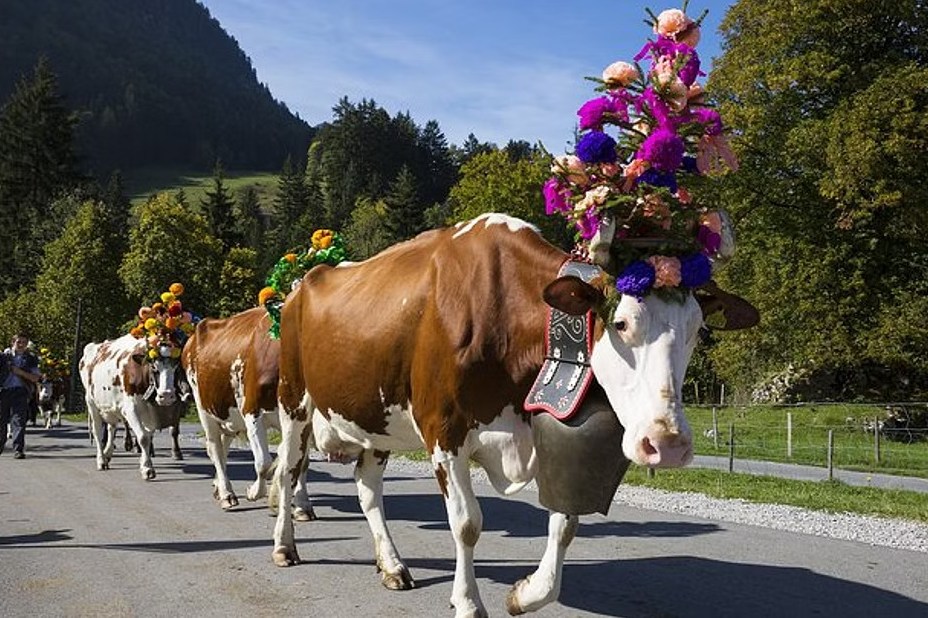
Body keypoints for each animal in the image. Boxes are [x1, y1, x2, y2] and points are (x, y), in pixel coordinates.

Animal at [81, 332, 192, 476]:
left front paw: (144, 462)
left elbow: (148, 437)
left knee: (111, 427)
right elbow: (143, 437)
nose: (166, 395)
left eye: (176, 368)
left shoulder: (152, 414)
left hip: (111, 407)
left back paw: (108, 453)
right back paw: (101, 460)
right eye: (154, 367)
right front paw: (147, 468)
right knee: (98, 431)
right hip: (91, 403)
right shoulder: (131, 409)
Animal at [181, 306, 316, 516]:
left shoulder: (303, 420)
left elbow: (302, 462)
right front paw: (253, 492)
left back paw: (219, 487)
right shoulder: (252, 411)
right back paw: (227, 494)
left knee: (223, 446)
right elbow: (263, 462)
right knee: (214, 448)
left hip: (228, 416)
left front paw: (302, 505)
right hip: (204, 407)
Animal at [268, 213, 740, 616]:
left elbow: (564, 524)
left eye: (699, 329)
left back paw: (392, 565)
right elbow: (466, 523)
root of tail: (305, 281)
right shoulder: (445, 431)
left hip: (375, 416)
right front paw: (468, 602)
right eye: (621, 323)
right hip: (294, 400)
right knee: (287, 471)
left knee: (367, 489)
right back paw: (284, 547)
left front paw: (525, 593)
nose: (668, 444)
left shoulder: (543, 431)